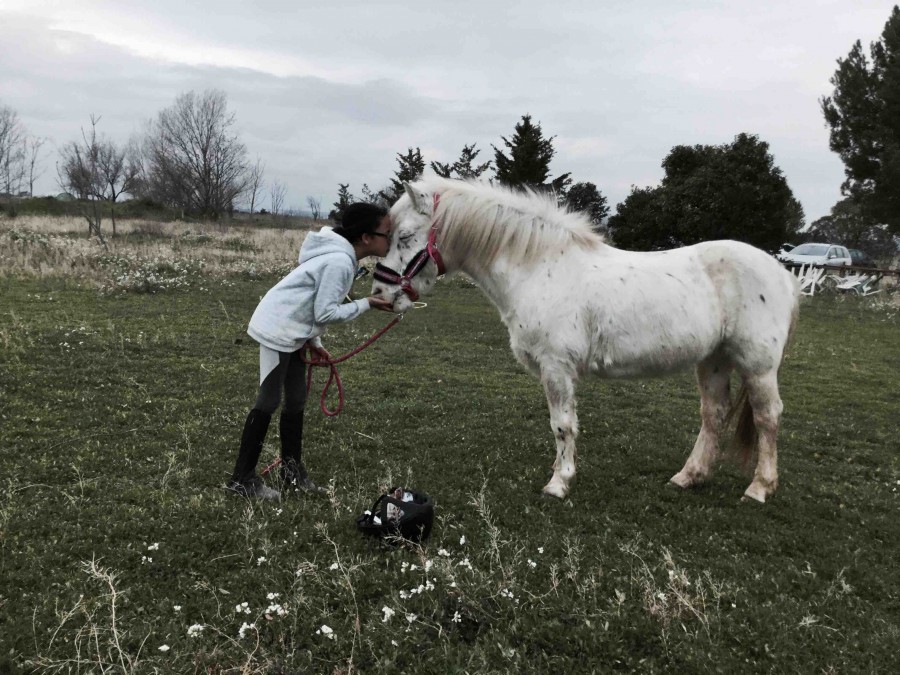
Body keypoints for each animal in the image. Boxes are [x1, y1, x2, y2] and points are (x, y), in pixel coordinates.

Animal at [372, 177, 800, 503]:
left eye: (405, 236)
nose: (380, 295)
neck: (539, 268)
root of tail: (782, 273)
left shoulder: (556, 367)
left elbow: (562, 425)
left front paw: (559, 483)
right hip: (713, 359)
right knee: (714, 415)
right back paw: (689, 476)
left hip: (758, 365)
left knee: (768, 416)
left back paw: (760, 488)